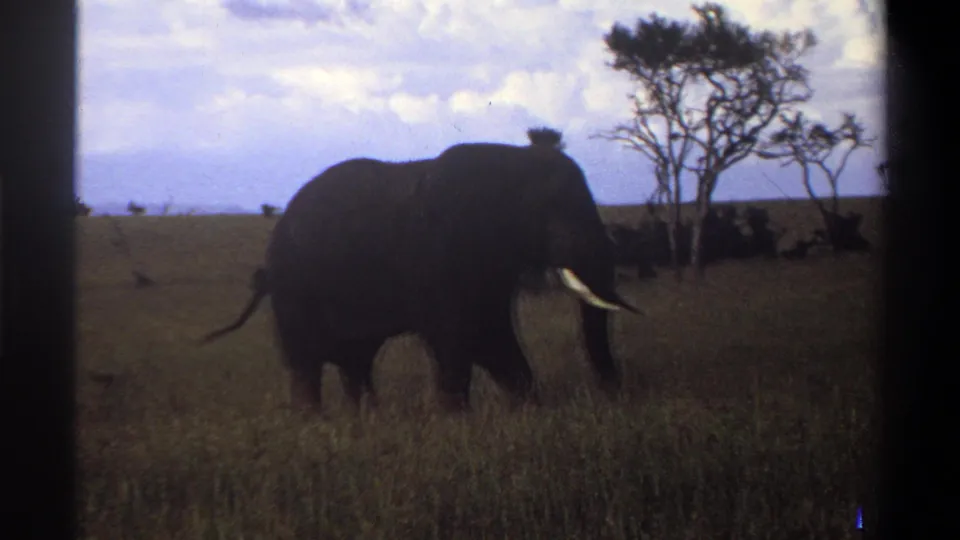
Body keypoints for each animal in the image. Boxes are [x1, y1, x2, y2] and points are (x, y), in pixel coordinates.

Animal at [199, 142, 639, 414]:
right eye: (550, 210)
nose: (614, 396)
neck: (509, 160)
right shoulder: (439, 257)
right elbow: (460, 339)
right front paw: (456, 422)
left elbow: (492, 336)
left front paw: (529, 411)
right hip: (294, 290)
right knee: (307, 363)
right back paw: (315, 423)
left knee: (355, 362)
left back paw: (366, 419)